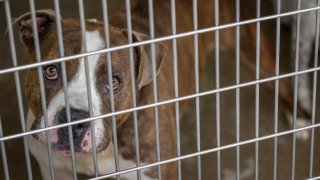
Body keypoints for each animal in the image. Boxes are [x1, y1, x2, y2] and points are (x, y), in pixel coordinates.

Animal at [15, 0, 310, 179]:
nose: (73, 119)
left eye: (114, 81)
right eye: (51, 70)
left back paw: (300, 119)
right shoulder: (53, 169)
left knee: (283, 79)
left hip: (249, 43)